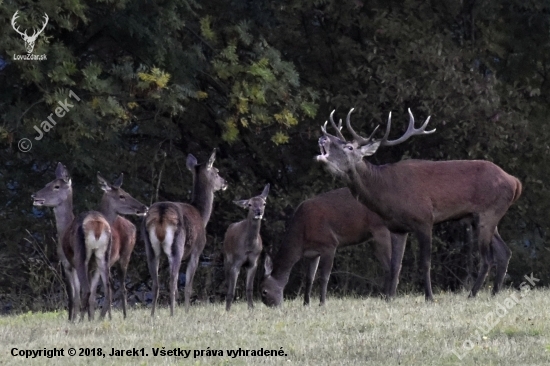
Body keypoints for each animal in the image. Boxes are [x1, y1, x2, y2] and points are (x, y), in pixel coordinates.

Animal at [32, 163, 112, 320]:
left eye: (56, 186)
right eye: (47, 184)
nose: (34, 195)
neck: (63, 229)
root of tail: (97, 227)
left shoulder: (67, 264)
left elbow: (73, 295)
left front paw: (71, 319)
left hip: (80, 256)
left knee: (86, 290)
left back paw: (81, 320)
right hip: (103, 256)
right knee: (108, 288)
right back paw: (99, 319)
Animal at [96, 172, 149, 318]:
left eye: (127, 192)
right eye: (121, 196)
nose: (144, 207)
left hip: (125, 255)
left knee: (122, 288)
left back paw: (123, 316)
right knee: (114, 288)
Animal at [144, 150, 229, 316]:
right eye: (216, 172)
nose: (225, 182)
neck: (202, 215)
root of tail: (161, 213)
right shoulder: (197, 250)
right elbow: (189, 286)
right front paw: (187, 311)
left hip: (150, 248)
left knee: (156, 283)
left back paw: (152, 315)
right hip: (177, 246)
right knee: (172, 282)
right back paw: (172, 314)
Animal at [260, 189, 408, 306]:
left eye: (264, 292)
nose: (274, 306)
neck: (301, 239)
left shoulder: (329, 244)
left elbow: (325, 276)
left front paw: (322, 303)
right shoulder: (313, 253)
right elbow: (309, 278)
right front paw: (306, 303)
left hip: (380, 229)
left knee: (393, 265)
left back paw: (389, 298)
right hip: (374, 239)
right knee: (389, 265)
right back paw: (384, 296)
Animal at [316, 108, 524, 300]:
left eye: (349, 147)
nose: (322, 138)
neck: (386, 194)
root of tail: (515, 182)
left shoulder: (424, 219)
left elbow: (425, 263)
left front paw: (429, 297)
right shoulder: (397, 228)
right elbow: (395, 265)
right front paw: (390, 298)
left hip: (489, 211)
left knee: (487, 258)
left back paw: (472, 295)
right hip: (480, 218)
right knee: (504, 252)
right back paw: (494, 294)